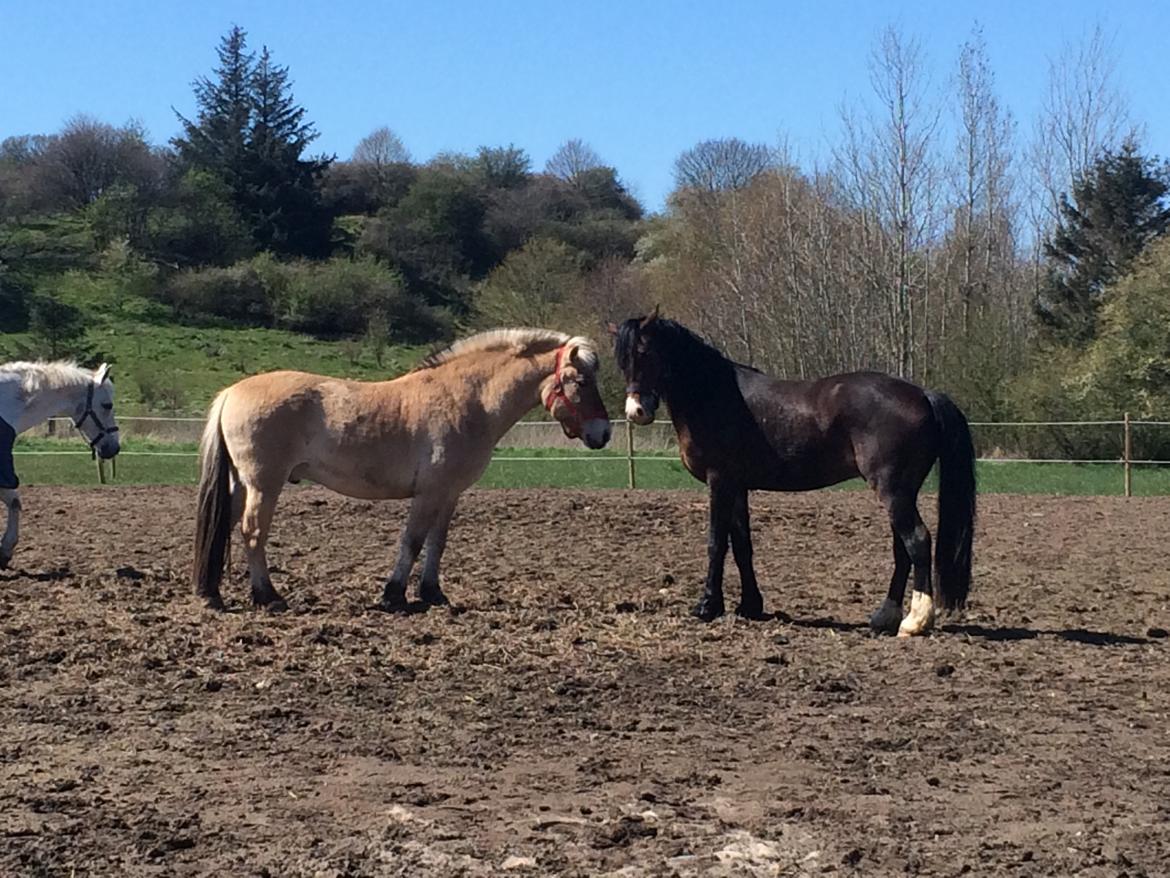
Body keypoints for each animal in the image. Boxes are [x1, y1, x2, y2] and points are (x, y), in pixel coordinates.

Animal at [191, 327, 613, 613]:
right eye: (580, 381)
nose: (603, 433)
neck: (468, 399)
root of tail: (231, 392)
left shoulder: (449, 494)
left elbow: (437, 543)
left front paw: (433, 593)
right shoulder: (428, 493)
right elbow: (412, 541)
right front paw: (394, 594)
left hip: (242, 484)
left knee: (227, 524)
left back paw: (211, 593)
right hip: (264, 483)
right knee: (252, 532)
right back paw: (268, 596)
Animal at [613, 318, 978, 641]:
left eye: (646, 352)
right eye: (622, 360)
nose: (637, 411)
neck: (713, 394)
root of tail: (923, 394)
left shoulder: (720, 482)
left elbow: (717, 543)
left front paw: (707, 606)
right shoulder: (738, 487)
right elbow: (742, 545)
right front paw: (750, 606)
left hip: (894, 491)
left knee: (917, 540)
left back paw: (915, 622)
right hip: (899, 494)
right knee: (902, 549)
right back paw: (884, 617)